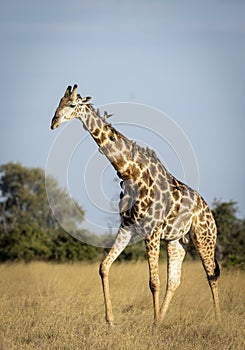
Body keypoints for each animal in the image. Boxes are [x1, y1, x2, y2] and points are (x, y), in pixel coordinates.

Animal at [49, 84, 220, 326]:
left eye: (72, 104)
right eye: (59, 102)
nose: (53, 122)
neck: (131, 173)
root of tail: (209, 212)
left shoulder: (152, 231)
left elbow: (153, 282)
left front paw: (153, 325)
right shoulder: (127, 227)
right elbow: (104, 267)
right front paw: (111, 320)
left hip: (205, 238)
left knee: (211, 275)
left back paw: (217, 320)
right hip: (177, 241)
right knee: (175, 280)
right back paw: (163, 319)